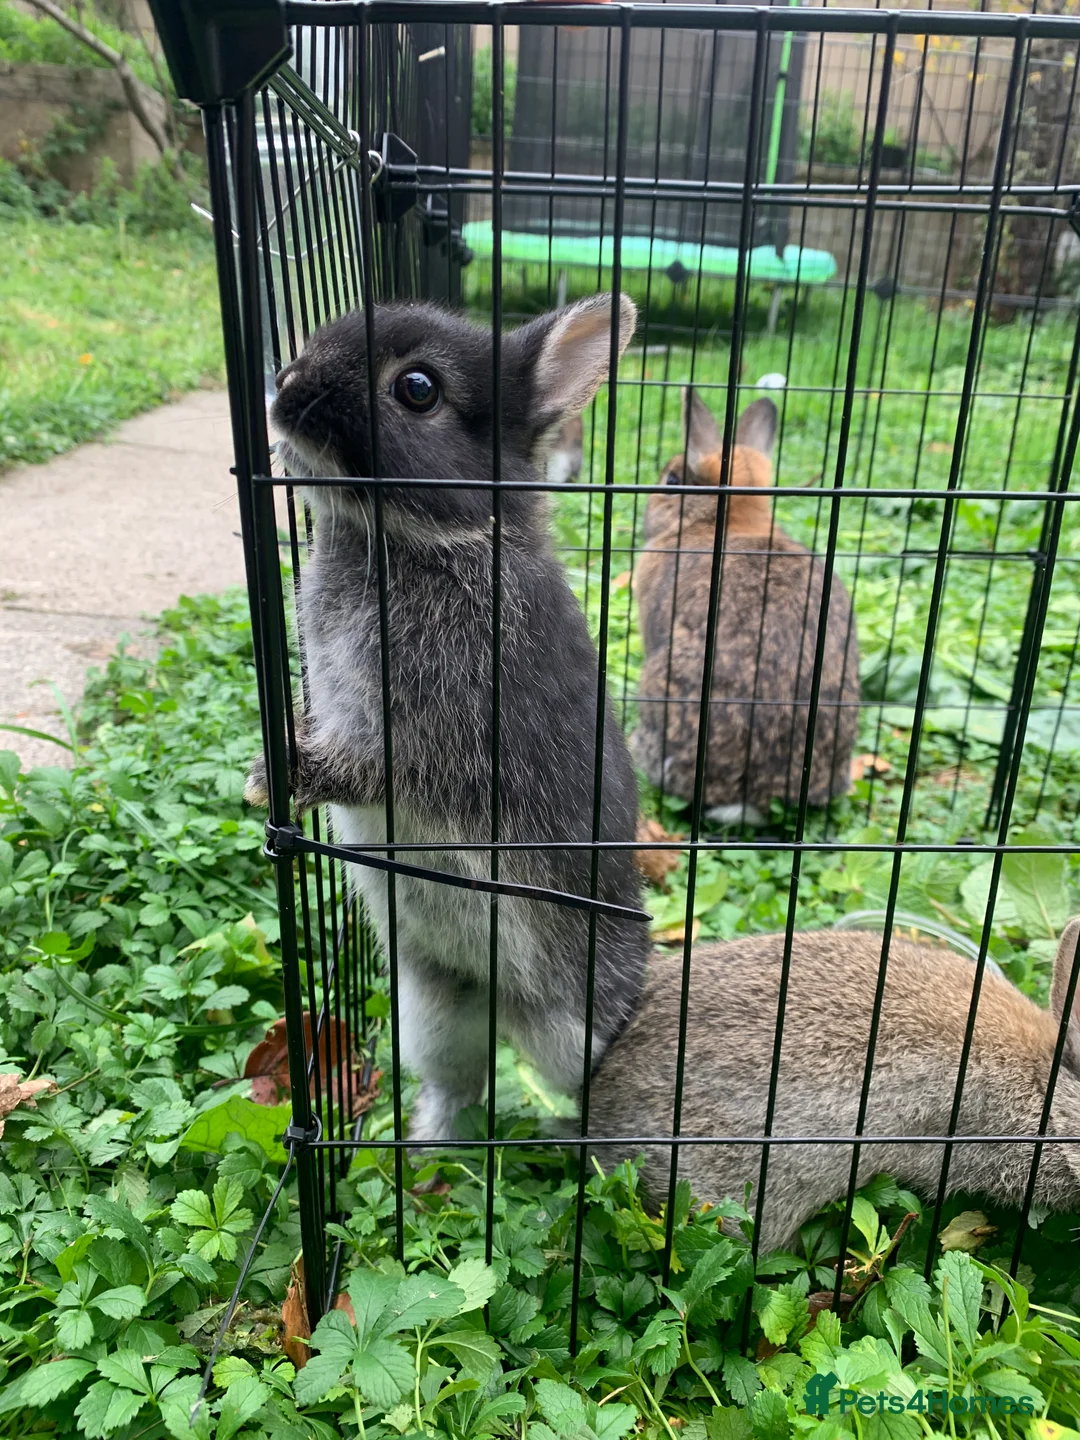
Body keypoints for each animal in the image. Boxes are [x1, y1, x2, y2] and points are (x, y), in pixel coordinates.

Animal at [245, 295, 649, 1144]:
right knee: (457, 1083)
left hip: (573, 1022)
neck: (428, 537)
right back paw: (428, 1147)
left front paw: (281, 775)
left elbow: (372, 770)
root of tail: (504, 1004)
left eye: (419, 389)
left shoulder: (442, 736)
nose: (285, 387)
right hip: (433, 1003)